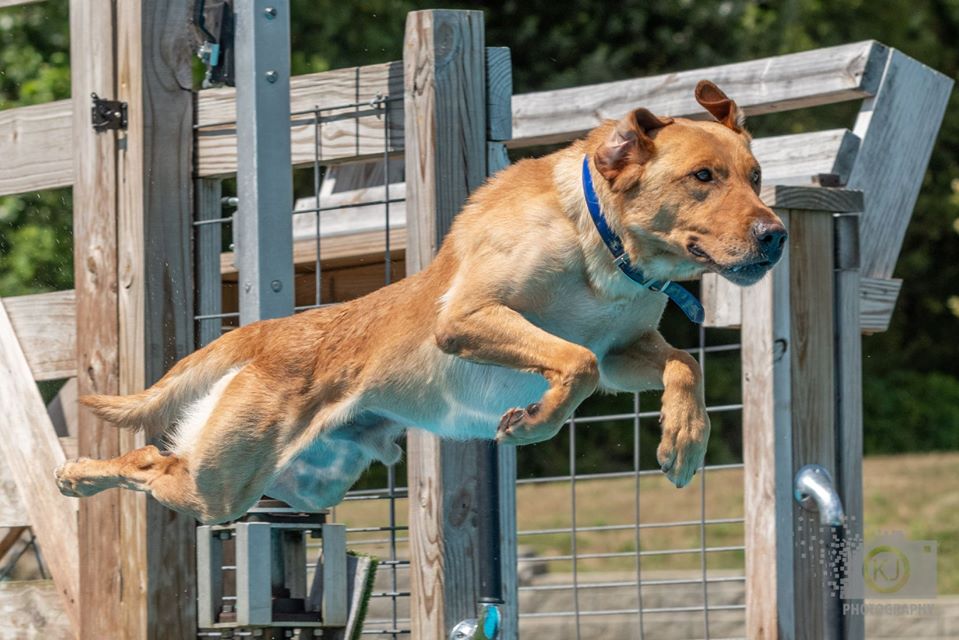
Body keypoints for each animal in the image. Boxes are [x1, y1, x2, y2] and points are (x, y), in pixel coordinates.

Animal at [54, 80, 788, 524]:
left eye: (756, 177)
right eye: (703, 177)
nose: (775, 234)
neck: (607, 252)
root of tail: (260, 334)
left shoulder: (623, 350)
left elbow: (681, 365)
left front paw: (683, 442)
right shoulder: (466, 321)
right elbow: (572, 362)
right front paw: (533, 421)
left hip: (290, 483)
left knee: (165, 463)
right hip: (223, 479)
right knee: (146, 460)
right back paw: (77, 477)